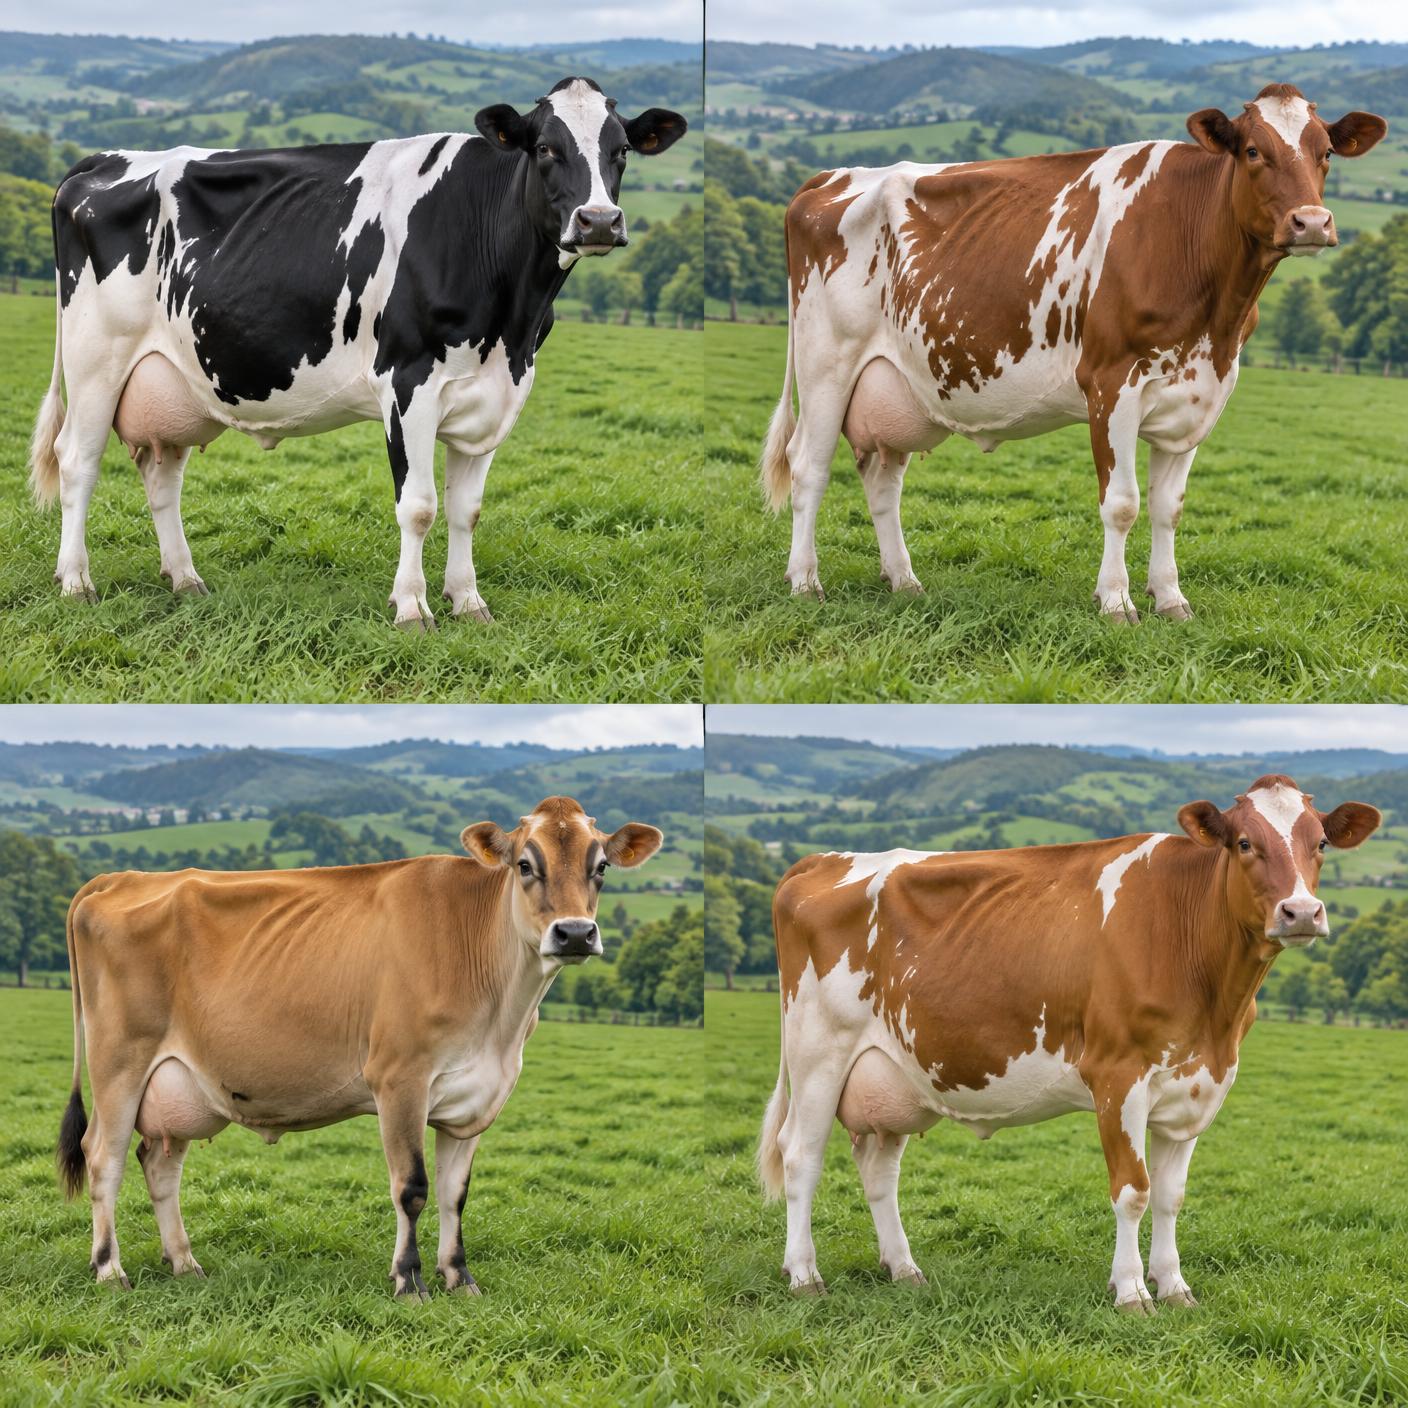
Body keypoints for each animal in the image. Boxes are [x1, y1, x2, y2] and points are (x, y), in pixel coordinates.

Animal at [28, 79, 686, 628]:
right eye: (545, 148)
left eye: (622, 151)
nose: (598, 220)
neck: (510, 322)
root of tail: (102, 160)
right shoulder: (408, 383)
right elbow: (418, 506)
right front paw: (413, 608)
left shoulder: (498, 393)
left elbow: (466, 510)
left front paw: (469, 602)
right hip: (95, 359)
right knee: (77, 461)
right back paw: (77, 582)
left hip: (173, 379)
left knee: (161, 473)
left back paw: (186, 579)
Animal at [55, 796, 662, 1295]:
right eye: (525, 865)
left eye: (601, 867)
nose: (575, 933)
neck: (500, 1020)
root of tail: (118, 877)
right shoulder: (399, 1079)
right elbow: (412, 1188)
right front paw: (409, 1280)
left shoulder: (475, 1097)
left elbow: (455, 1193)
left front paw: (459, 1277)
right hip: (119, 1063)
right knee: (103, 1156)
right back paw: (109, 1268)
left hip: (177, 1085)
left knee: (159, 1163)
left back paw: (185, 1263)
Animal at [757, 776, 1380, 1310]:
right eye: (1246, 842)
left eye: (1321, 842)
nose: (1302, 911)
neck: (1213, 1007)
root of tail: (821, 860)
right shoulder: (1119, 1076)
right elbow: (1132, 1190)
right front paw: (1132, 1292)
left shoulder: (1198, 1083)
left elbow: (1170, 1195)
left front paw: (1174, 1286)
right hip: (817, 1054)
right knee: (801, 1156)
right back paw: (805, 1275)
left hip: (892, 1074)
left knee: (878, 1166)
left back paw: (904, 1269)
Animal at [760, 85, 1386, 620]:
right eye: (1254, 150)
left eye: (1326, 152)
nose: (1312, 222)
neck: (1215, 314)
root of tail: (837, 174)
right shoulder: (1112, 383)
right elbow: (1123, 503)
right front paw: (1116, 601)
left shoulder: (1201, 392)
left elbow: (1169, 507)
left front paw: (1171, 599)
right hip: (825, 363)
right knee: (808, 465)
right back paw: (805, 582)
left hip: (891, 384)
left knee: (882, 477)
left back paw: (903, 579)